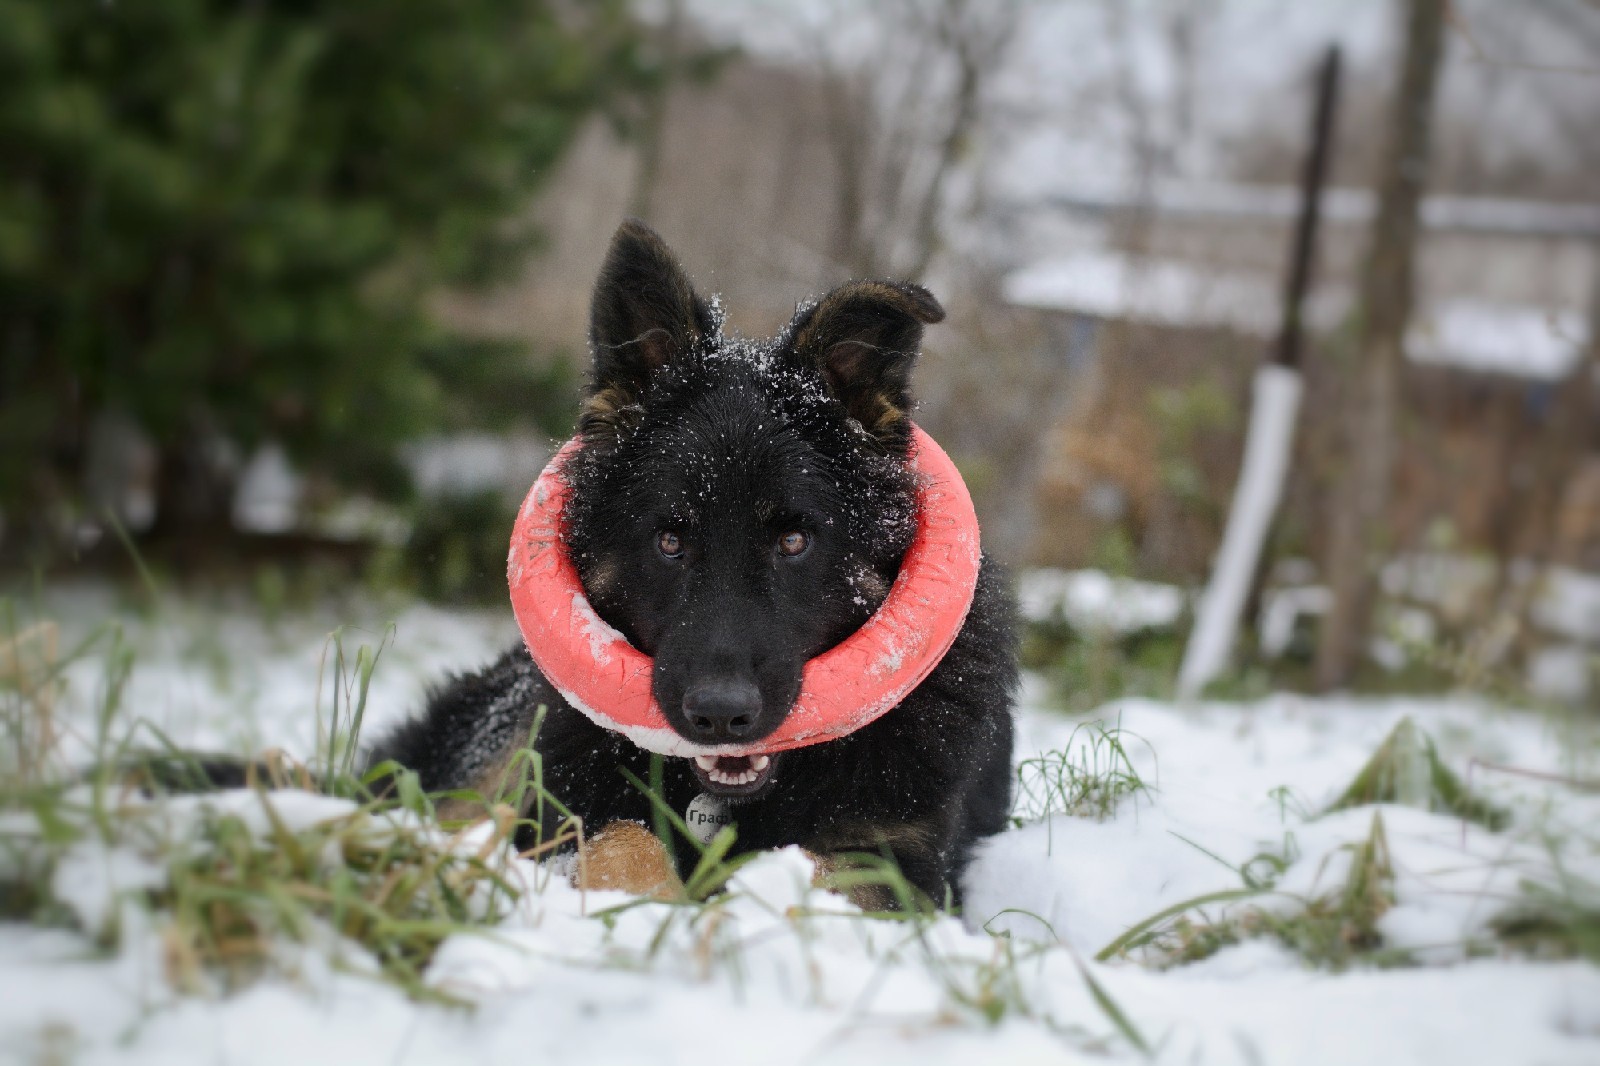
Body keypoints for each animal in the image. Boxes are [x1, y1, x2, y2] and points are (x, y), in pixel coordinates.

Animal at [369, 219, 1017, 902]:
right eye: (669, 542)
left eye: (794, 540)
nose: (720, 714)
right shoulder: (569, 810)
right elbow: (622, 842)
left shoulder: (898, 862)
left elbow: (822, 874)